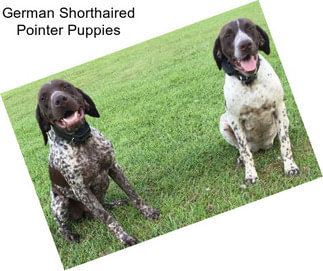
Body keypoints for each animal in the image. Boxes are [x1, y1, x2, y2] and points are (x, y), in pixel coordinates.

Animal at [36, 79, 160, 246]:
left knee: (103, 205)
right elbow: (107, 218)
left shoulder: (114, 168)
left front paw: (147, 211)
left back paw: (114, 204)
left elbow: (133, 194)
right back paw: (70, 235)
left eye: (66, 86)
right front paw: (124, 237)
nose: (59, 99)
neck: (81, 141)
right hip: (60, 202)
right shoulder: (81, 190)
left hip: (104, 182)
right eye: (43, 98)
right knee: (62, 226)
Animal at [213, 17, 302, 185]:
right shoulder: (235, 120)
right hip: (223, 122)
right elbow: (245, 151)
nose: (245, 44)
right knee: (242, 149)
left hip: (285, 117)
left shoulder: (279, 108)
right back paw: (241, 158)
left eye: (250, 28)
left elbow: (285, 144)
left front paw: (290, 167)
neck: (250, 81)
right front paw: (250, 175)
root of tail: (261, 147)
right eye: (228, 35)